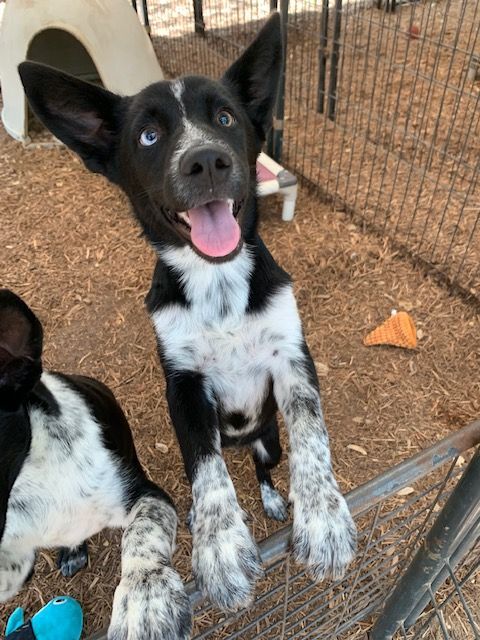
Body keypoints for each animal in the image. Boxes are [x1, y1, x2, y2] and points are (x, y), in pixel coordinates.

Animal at [18, 12, 356, 616]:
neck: (216, 283)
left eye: (224, 118)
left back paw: (276, 499)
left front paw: (324, 523)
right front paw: (219, 548)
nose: (206, 160)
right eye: (149, 137)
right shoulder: (184, 384)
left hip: (266, 439)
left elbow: (312, 435)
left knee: (265, 465)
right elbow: (205, 467)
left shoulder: (293, 357)